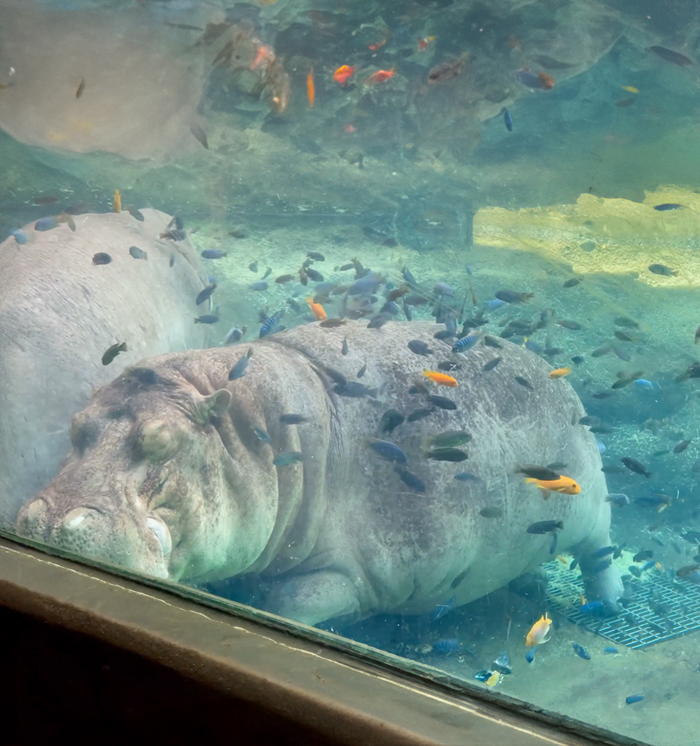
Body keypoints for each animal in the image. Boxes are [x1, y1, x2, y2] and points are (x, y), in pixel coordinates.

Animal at [17, 320, 623, 626]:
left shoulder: (347, 573)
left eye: (164, 442)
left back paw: (609, 604)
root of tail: (556, 375)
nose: (48, 521)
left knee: (600, 551)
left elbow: (292, 603)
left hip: (591, 498)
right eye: (76, 427)